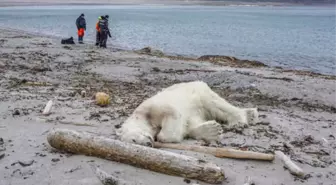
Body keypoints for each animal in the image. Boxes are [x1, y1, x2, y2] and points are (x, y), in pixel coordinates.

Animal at [117, 80, 258, 147]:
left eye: (134, 139)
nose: (148, 143)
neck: (141, 116)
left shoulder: (152, 107)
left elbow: (172, 116)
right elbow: (188, 125)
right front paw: (212, 130)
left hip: (198, 93)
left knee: (216, 105)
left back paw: (241, 120)